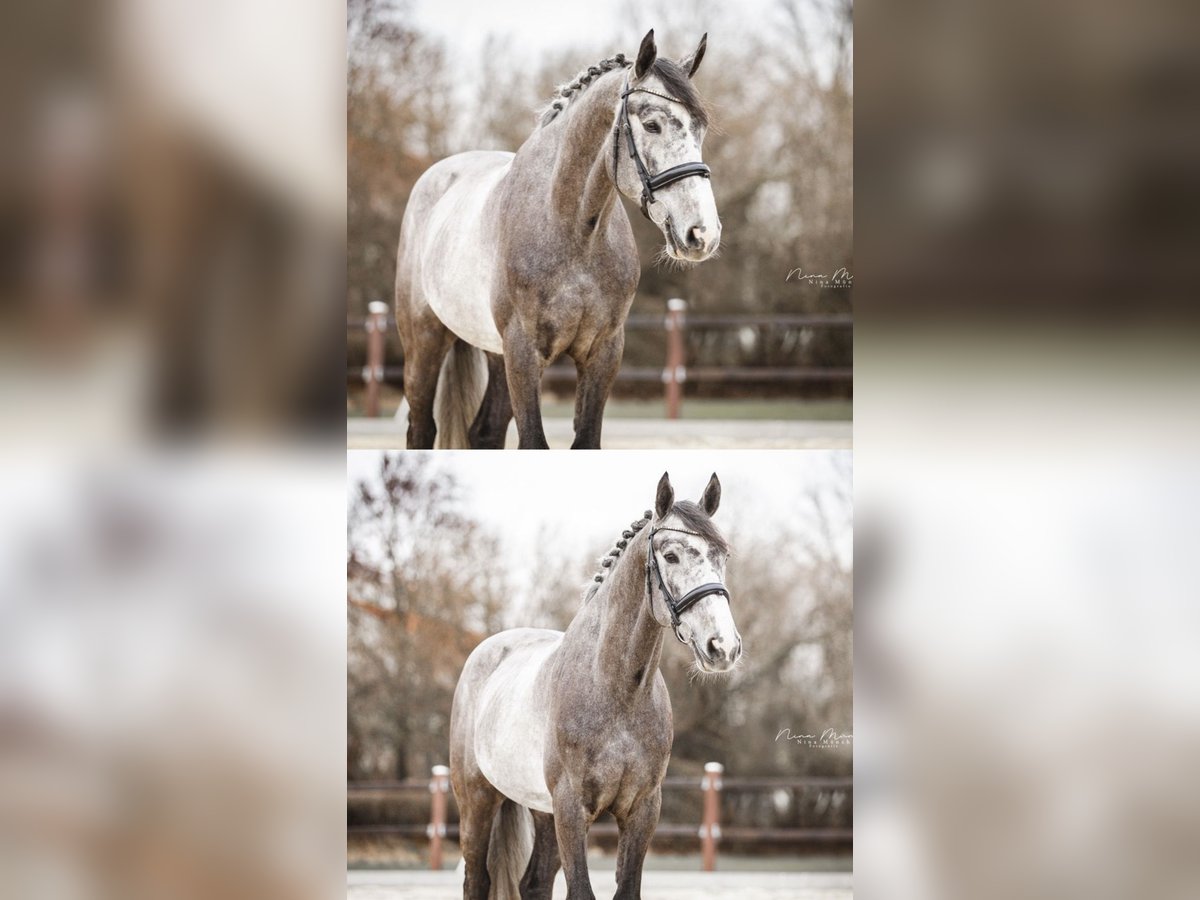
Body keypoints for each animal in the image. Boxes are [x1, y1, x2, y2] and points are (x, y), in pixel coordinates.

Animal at [396, 30, 720, 448]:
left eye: (700, 128)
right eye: (652, 125)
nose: (702, 233)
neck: (572, 231)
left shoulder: (602, 354)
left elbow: (586, 440)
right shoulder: (523, 354)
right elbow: (534, 441)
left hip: (495, 354)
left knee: (485, 432)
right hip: (424, 343)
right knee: (421, 427)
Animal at [448, 475, 739, 897]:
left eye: (723, 557)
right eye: (670, 556)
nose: (723, 647)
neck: (616, 691)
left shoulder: (642, 811)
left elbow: (627, 888)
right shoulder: (571, 809)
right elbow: (581, 890)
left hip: (542, 811)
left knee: (534, 882)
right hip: (477, 802)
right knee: (477, 879)